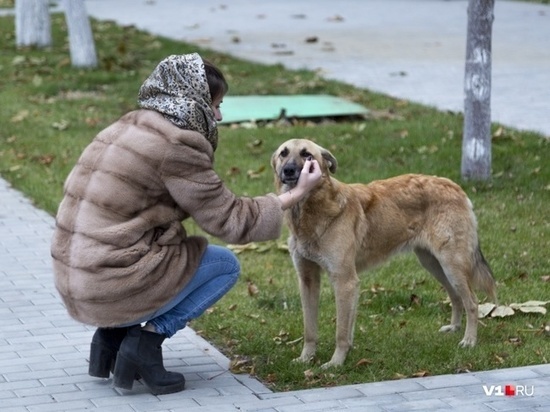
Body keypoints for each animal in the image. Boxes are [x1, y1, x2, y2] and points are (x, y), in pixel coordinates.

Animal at [272, 140, 500, 368]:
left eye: (306, 154)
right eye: (283, 153)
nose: (288, 170)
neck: (311, 210)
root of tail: (454, 186)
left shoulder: (344, 281)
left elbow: (341, 332)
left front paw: (336, 363)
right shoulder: (309, 280)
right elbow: (311, 329)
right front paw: (307, 358)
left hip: (452, 265)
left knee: (472, 302)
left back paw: (469, 340)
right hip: (434, 265)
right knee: (455, 297)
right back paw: (454, 328)